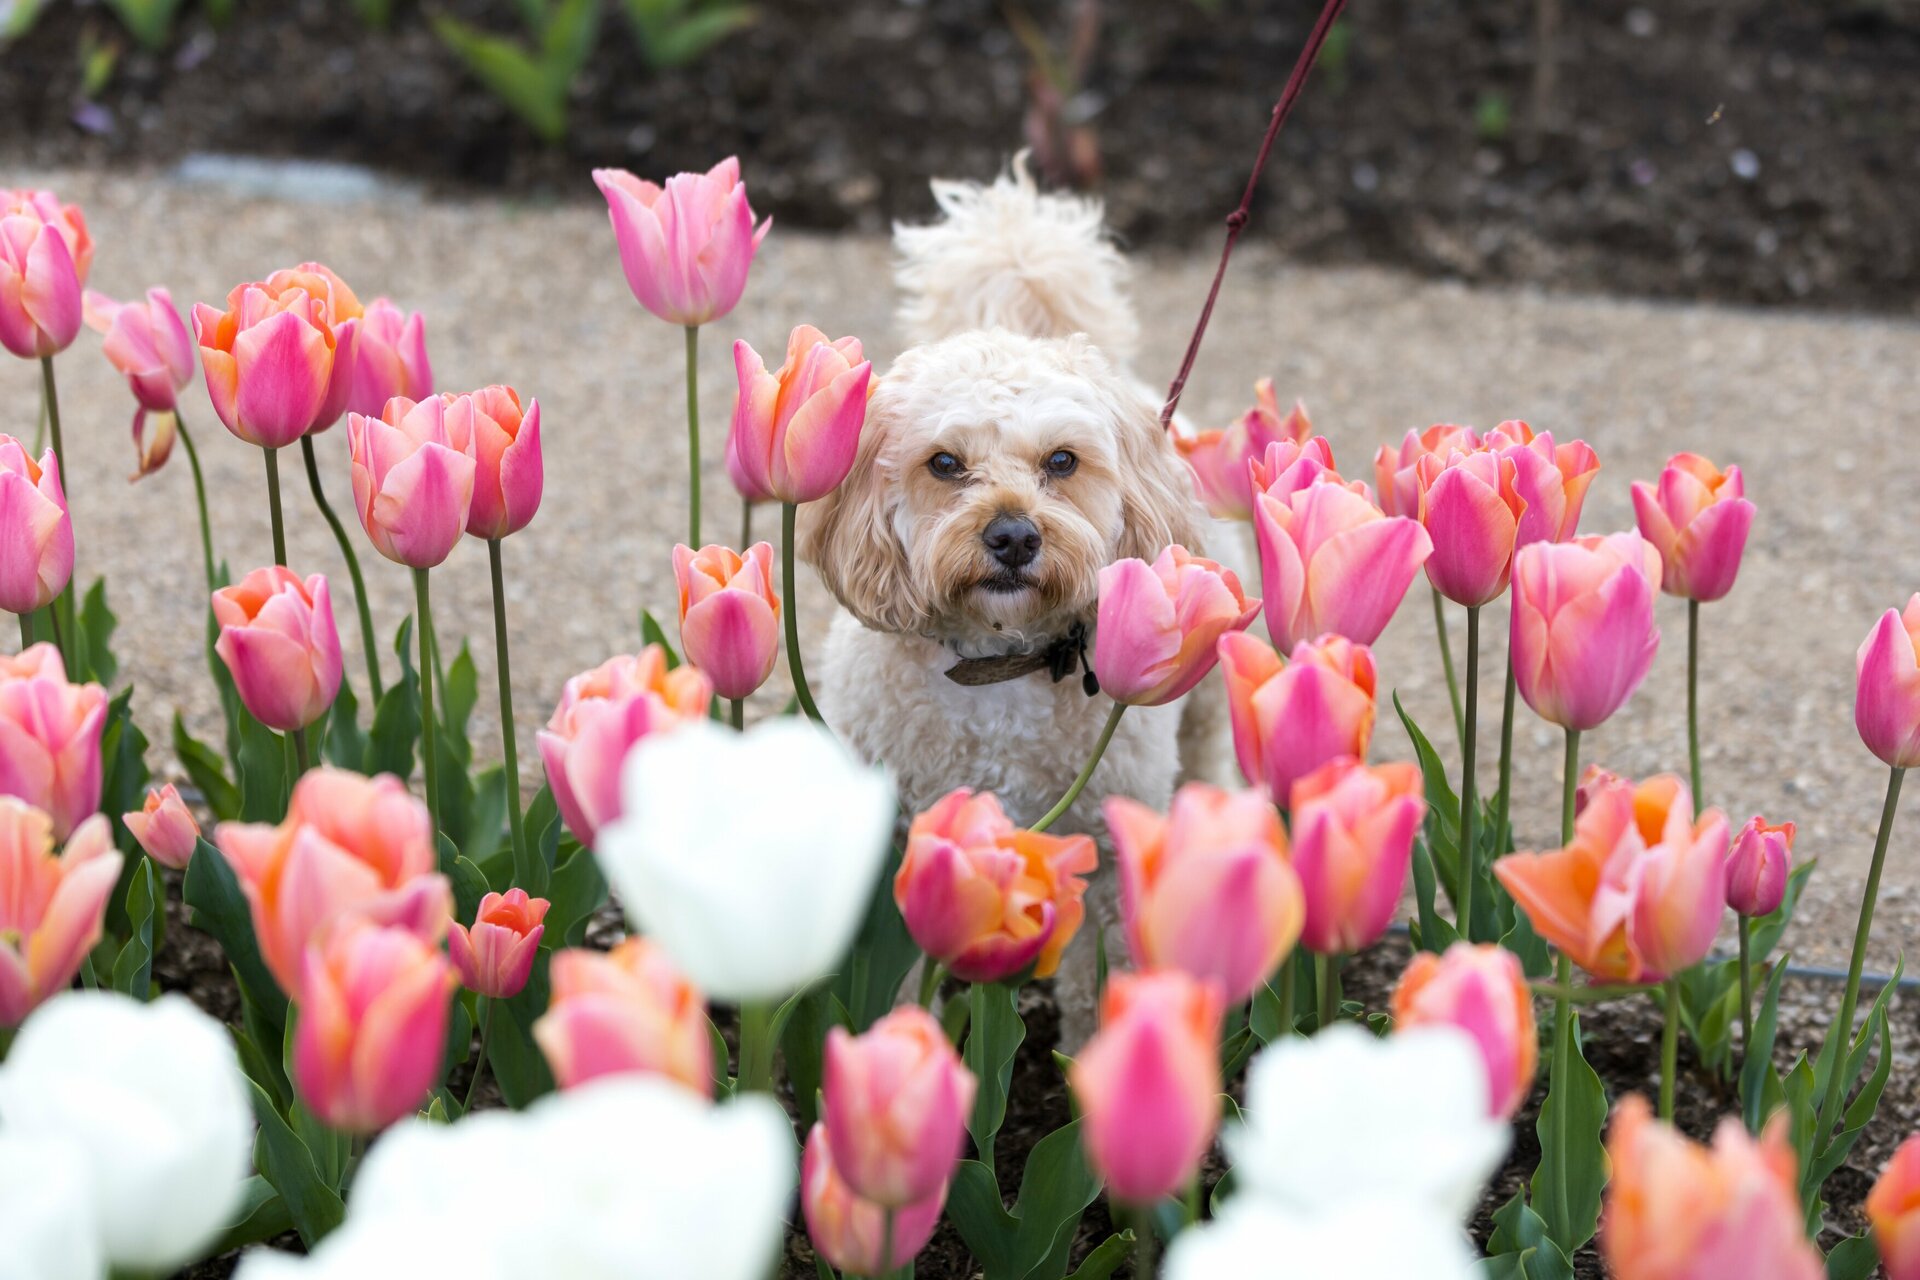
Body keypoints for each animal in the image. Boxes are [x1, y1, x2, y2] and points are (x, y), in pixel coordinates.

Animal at [800, 159, 1236, 1044]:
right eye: (944, 463)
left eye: (1061, 461)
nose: (1011, 536)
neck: (1001, 666)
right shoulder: (909, 835)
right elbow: (901, 972)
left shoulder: (1104, 848)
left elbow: (1103, 980)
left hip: (1203, 704)